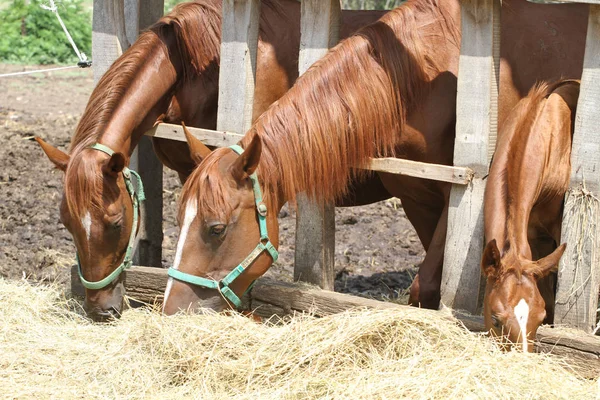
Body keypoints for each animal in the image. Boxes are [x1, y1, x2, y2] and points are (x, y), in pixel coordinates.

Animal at [162, 0, 588, 318]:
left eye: (216, 229)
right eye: (179, 219)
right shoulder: (417, 199)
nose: (171, 309)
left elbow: (427, 287)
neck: (419, 79)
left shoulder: (462, 196)